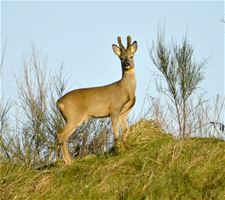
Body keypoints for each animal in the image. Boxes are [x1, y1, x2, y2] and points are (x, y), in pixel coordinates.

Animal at [56, 36, 137, 164]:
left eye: (131, 56)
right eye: (121, 58)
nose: (127, 65)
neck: (126, 89)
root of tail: (58, 102)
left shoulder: (124, 113)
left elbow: (126, 129)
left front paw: (126, 145)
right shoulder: (114, 109)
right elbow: (116, 133)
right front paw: (117, 149)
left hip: (69, 118)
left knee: (60, 133)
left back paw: (67, 160)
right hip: (74, 116)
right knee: (61, 134)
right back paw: (68, 162)